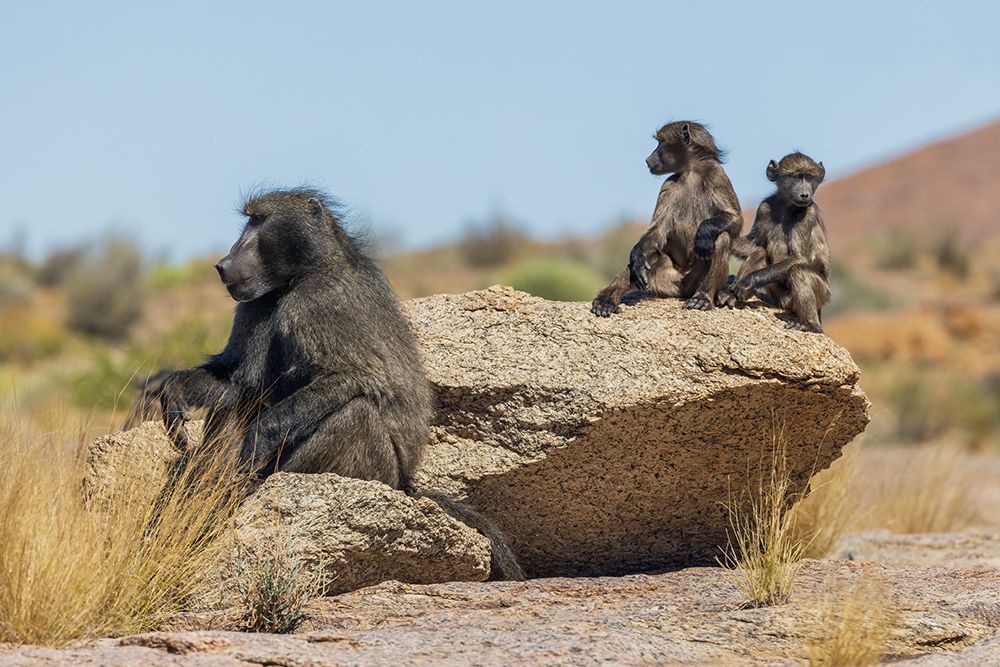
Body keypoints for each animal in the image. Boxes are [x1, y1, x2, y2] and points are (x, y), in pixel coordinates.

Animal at [139, 188, 523, 580]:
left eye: (259, 220)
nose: (223, 264)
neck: (302, 274)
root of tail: (405, 484)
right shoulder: (257, 303)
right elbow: (239, 382)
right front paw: (174, 392)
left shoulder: (317, 302)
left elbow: (352, 377)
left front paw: (256, 441)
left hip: (375, 473)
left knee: (355, 413)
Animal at [590, 121, 742, 316]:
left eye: (661, 143)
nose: (647, 159)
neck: (691, 171)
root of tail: (681, 290)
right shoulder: (668, 185)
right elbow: (658, 229)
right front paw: (636, 256)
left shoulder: (717, 176)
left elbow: (735, 219)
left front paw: (704, 231)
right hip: (664, 281)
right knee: (650, 255)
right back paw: (606, 300)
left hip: (694, 280)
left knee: (720, 238)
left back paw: (703, 297)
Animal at [718, 152, 831, 333]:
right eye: (796, 177)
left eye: (809, 177)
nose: (805, 195)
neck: (787, 205)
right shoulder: (764, 208)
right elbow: (754, 243)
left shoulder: (808, 213)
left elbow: (799, 258)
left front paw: (749, 281)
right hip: (780, 299)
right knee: (760, 253)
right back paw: (729, 295)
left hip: (823, 295)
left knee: (798, 271)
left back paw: (810, 324)